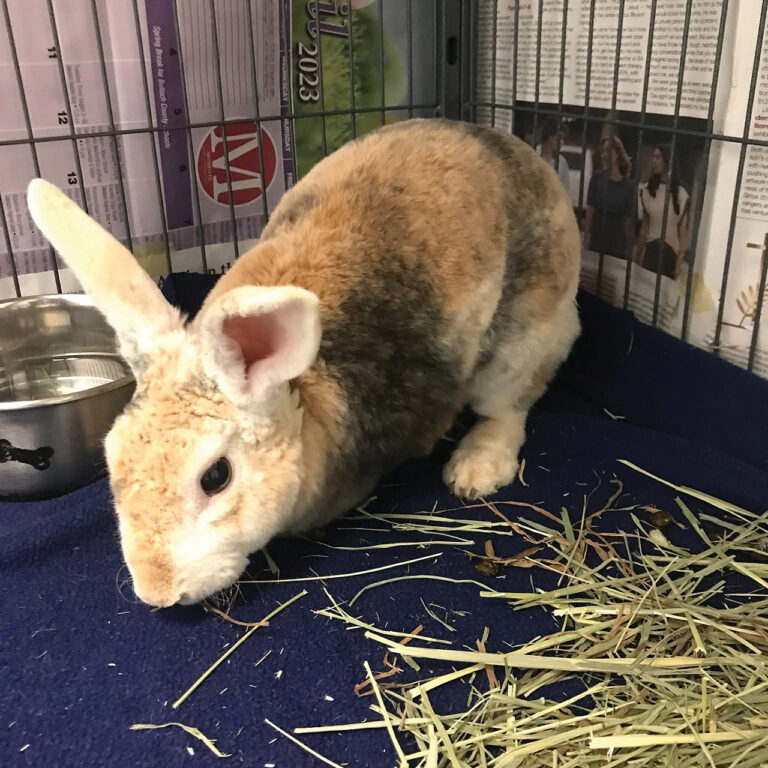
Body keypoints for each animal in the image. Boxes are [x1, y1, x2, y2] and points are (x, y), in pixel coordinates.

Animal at [26, 117, 580, 608]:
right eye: (111, 454)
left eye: (215, 477)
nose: (156, 594)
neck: (304, 398)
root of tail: (525, 153)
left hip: (521, 338)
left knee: (509, 407)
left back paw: (474, 470)